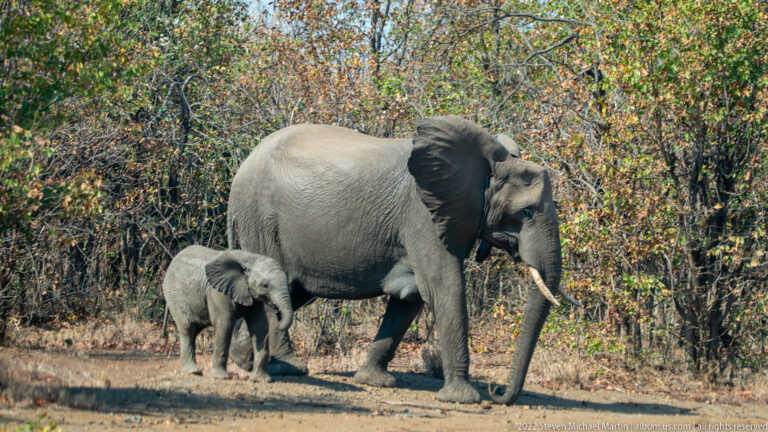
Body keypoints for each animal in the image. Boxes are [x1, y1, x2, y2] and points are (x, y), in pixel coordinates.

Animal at [162, 245, 293, 382]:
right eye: (265, 285)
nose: (278, 318)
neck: (251, 258)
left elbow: (260, 326)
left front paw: (260, 380)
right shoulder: (217, 292)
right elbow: (225, 324)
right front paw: (220, 377)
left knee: (194, 329)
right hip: (174, 294)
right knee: (188, 327)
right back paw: (192, 372)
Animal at [221, 116, 579, 404]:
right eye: (526, 213)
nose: (497, 392)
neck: (488, 163)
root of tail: (241, 170)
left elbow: (410, 298)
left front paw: (374, 381)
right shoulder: (423, 216)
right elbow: (444, 287)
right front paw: (463, 399)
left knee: (291, 292)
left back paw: (244, 359)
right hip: (261, 219)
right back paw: (288, 368)